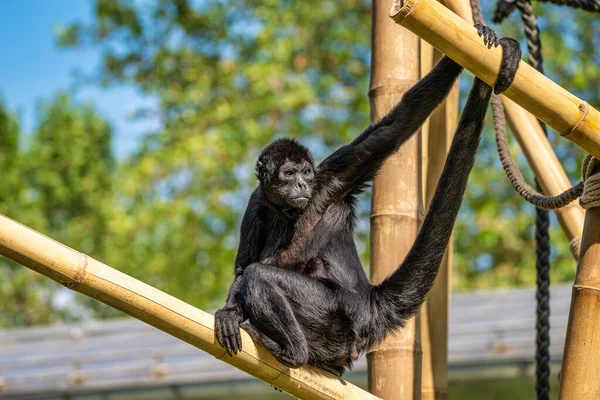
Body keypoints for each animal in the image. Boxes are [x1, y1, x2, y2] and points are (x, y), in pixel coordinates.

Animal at [216, 26, 520, 376]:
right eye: (288, 174)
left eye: (305, 172)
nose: (302, 184)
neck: (288, 209)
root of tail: (368, 304)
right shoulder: (257, 202)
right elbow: (242, 266)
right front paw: (229, 313)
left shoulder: (331, 179)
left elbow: (395, 126)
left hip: (336, 313)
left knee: (261, 275)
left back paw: (294, 352)